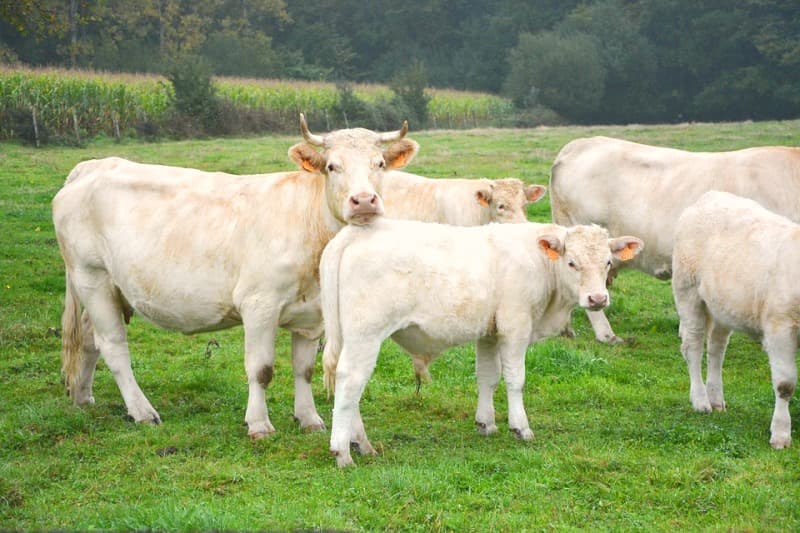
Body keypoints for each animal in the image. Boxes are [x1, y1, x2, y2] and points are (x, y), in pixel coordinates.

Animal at [52, 114, 419, 439]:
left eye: (379, 164)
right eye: (332, 166)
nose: (364, 201)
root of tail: (93, 166)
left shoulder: (312, 314)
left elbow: (304, 369)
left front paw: (309, 419)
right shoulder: (259, 304)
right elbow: (260, 369)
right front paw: (258, 424)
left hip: (111, 287)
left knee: (88, 338)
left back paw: (82, 397)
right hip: (91, 276)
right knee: (112, 345)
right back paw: (142, 411)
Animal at [319, 219, 643, 466]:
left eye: (608, 262)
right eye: (572, 262)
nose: (597, 299)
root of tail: (355, 232)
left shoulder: (489, 333)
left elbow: (487, 377)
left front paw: (486, 423)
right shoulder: (515, 327)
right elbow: (515, 379)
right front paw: (520, 427)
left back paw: (361, 443)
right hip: (366, 334)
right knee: (350, 380)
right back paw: (343, 451)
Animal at [672, 190, 800, 449]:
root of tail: (710, 196)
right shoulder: (781, 327)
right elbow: (785, 384)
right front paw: (781, 433)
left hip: (723, 306)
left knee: (716, 349)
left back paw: (716, 398)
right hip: (688, 291)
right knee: (693, 346)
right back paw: (701, 400)